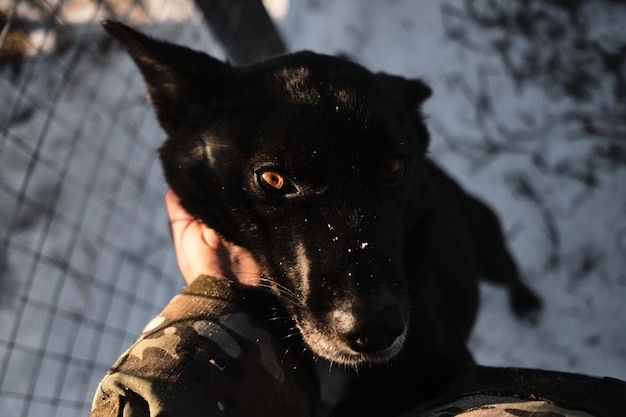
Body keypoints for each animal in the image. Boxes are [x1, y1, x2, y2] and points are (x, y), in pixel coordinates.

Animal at [103, 21, 540, 414]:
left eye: (392, 167)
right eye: (273, 178)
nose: (375, 329)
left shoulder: (444, 364)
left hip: (488, 248)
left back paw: (526, 301)